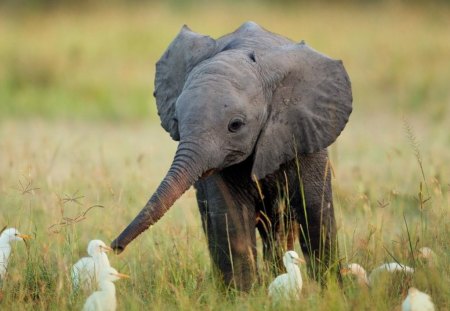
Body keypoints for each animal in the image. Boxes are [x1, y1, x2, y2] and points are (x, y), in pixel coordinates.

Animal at [111, 22, 352, 292]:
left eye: (235, 125)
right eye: (176, 120)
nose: (115, 247)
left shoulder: (304, 133)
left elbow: (316, 214)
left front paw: (332, 291)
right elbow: (231, 218)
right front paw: (244, 296)